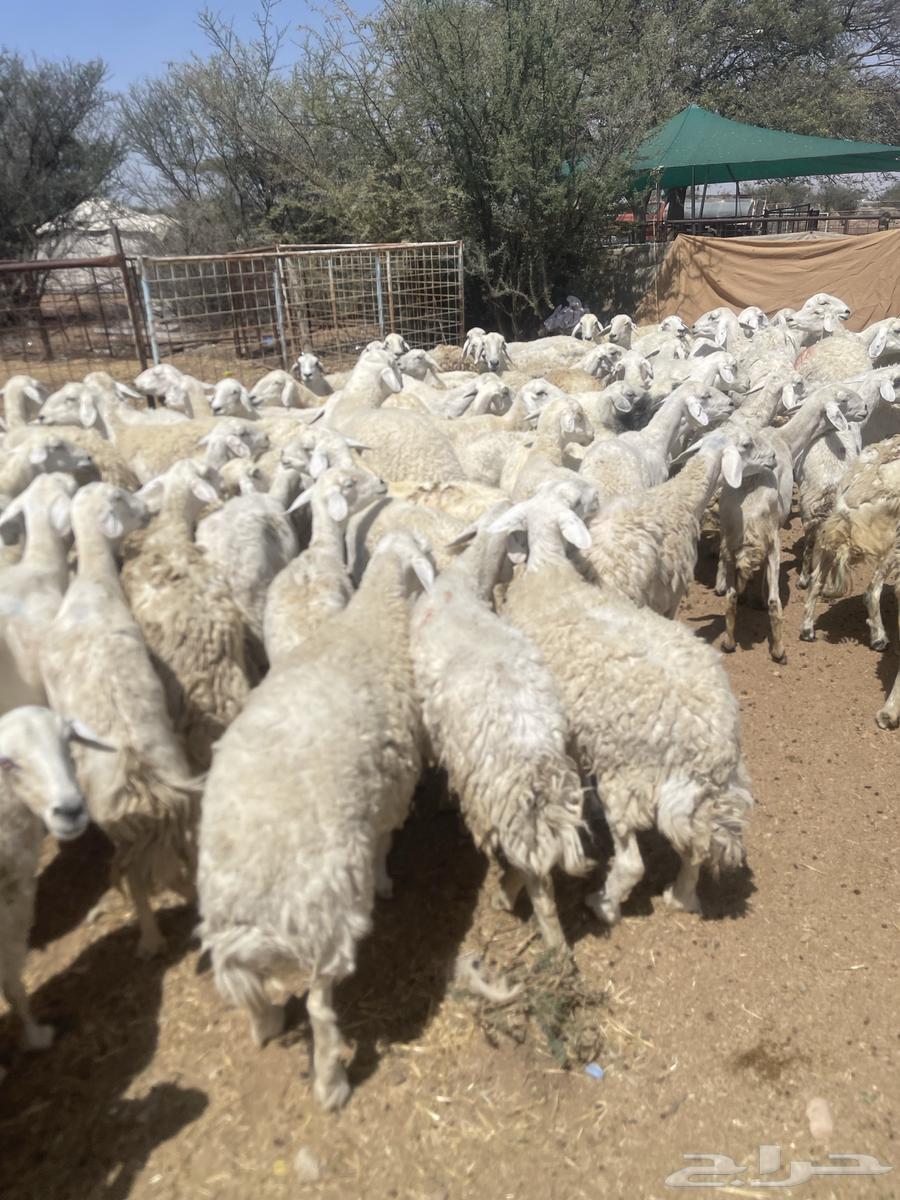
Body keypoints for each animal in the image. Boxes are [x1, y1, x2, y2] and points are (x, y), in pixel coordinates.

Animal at [39, 483, 202, 958]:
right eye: (121, 500)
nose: (147, 505)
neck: (93, 586)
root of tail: (137, 774)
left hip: (117, 822)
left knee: (139, 875)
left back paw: (151, 937)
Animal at [197, 529, 433, 1110]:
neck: (372, 619)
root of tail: (255, 906)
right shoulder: (392, 793)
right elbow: (384, 846)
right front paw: (386, 881)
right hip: (329, 920)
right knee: (320, 1010)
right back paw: (332, 1083)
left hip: (232, 937)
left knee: (250, 992)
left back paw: (265, 1026)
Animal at [410, 510, 587, 948]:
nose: (512, 569)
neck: (464, 585)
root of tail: (538, 759)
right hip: (539, 797)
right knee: (538, 857)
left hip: (497, 794)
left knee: (536, 871)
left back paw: (538, 929)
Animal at [492, 486, 753, 924]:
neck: (549, 573)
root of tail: (707, 743)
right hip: (698, 792)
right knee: (697, 845)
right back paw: (681, 896)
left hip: (627, 776)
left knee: (632, 863)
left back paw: (603, 904)